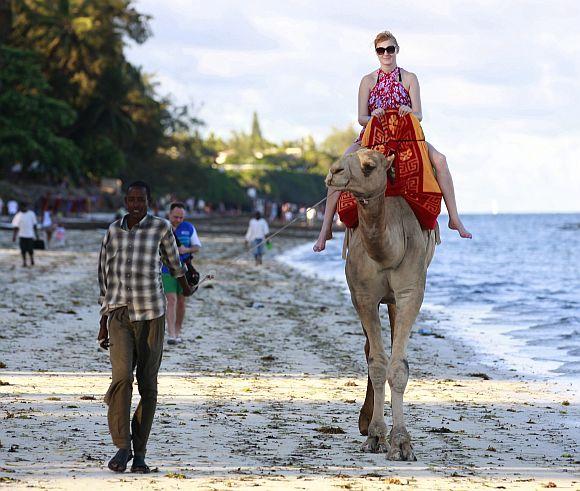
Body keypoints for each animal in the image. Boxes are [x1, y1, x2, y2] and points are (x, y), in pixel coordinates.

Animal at [324, 149, 438, 462]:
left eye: (368, 166)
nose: (333, 172)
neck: (387, 252)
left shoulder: (411, 292)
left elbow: (398, 367)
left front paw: (401, 443)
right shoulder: (362, 295)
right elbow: (376, 363)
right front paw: (375, 436)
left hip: (396, 300)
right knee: (369, 350)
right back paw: (365, 421)